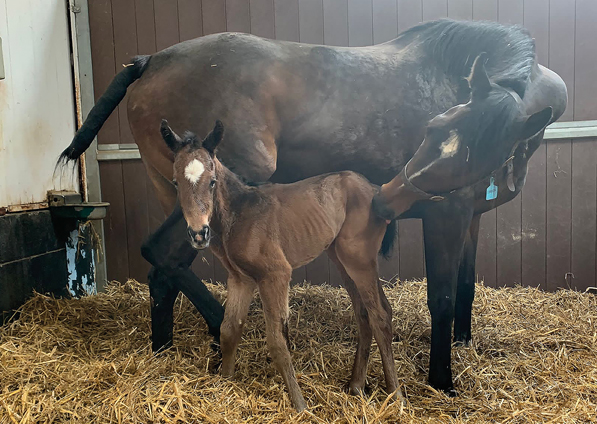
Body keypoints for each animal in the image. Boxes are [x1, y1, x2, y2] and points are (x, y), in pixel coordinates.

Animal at [161, 119, 402, 410]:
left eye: (212, 181)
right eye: (176, 182)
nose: (199, 234)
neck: (239, 214)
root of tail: (375, 190)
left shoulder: (275, 274)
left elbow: (277, 341)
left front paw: (300, 405)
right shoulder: (240, 278)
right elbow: (229, 330)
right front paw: (225, 383)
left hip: (359, 259)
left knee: (380, 314)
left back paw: (396, 395)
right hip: (343, 260)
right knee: (364, 313)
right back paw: (356, 385)